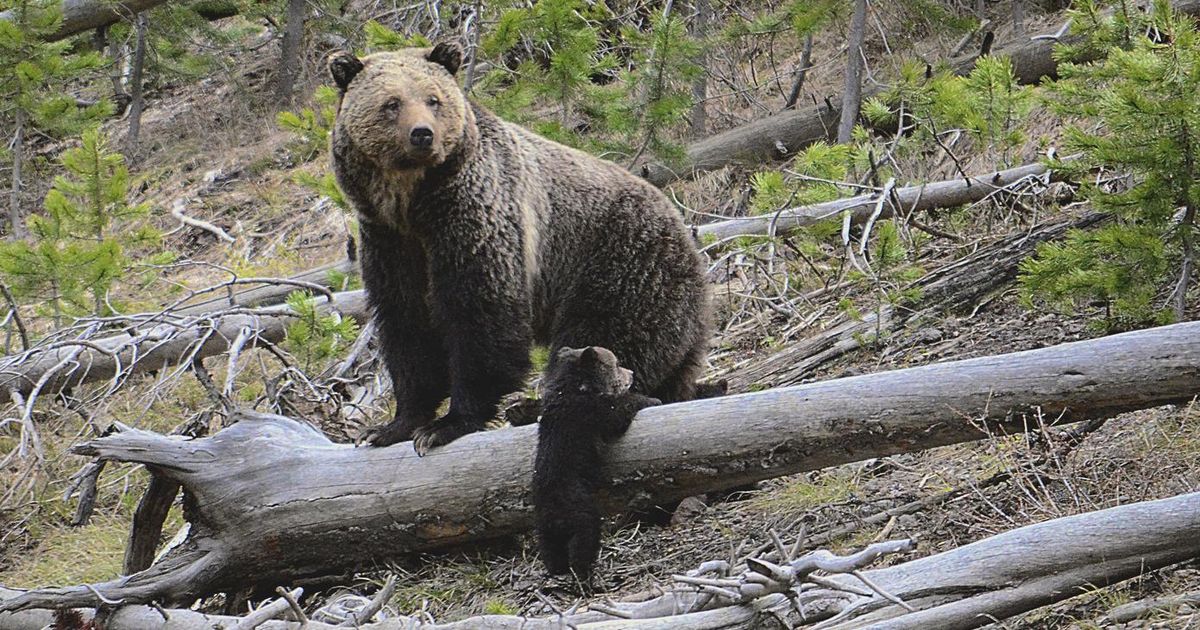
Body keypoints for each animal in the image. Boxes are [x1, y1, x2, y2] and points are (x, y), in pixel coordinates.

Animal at [327, 42, 712, 455]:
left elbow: (480, 314)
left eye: (433, 99)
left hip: (621, 262)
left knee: (605, 338)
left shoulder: (475, 216)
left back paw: (534, 406)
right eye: (392, 103)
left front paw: (448, 424)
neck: (411, 203)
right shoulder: (389, 241)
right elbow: (407, 324)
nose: (422, 135)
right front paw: (392, 426)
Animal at [533, 346, 660, 579]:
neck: (577, 387)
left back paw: (557, 569)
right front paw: (651, 399)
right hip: (579, 510)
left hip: (544, 527)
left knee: (550, 550)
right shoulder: (590, 412)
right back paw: (585, 574)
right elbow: (618, 413)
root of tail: (553, 513)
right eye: (617, 364)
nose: (631, 373)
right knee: (585, 539)